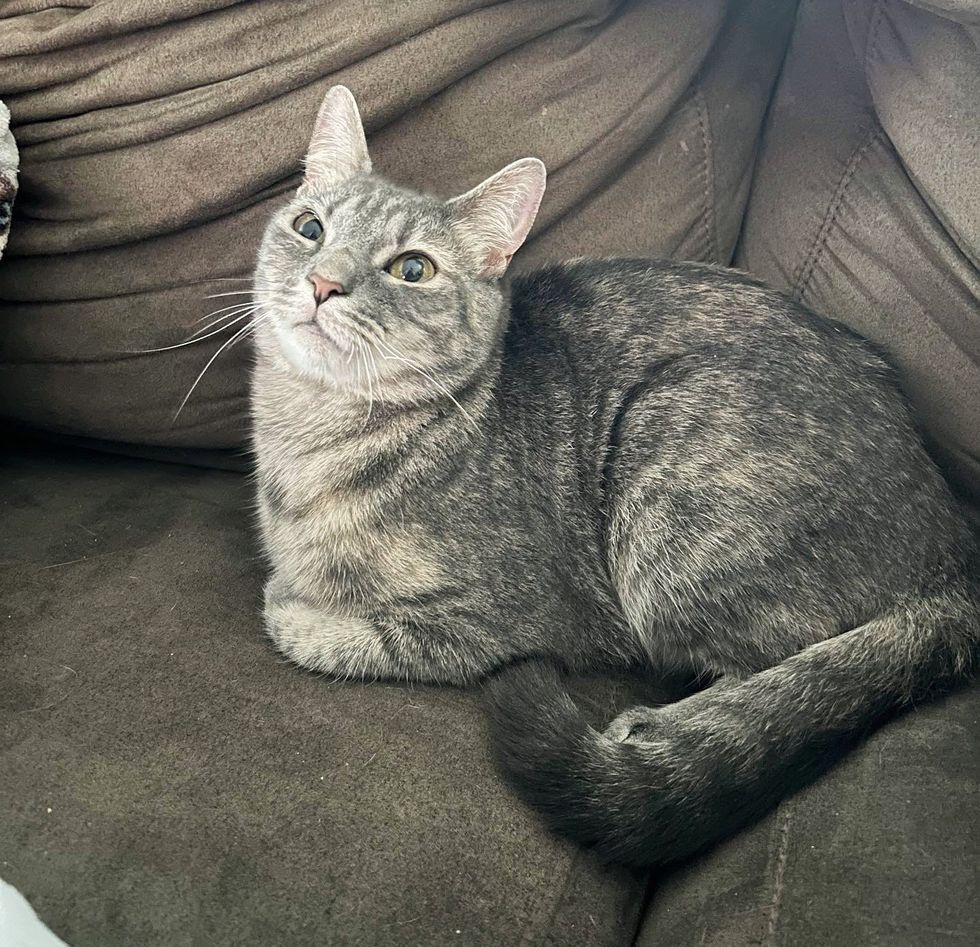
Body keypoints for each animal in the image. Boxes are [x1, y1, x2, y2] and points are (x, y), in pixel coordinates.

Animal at [253, 89, 980, 868]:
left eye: (412, 269)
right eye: (309, 227)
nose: (324, 283)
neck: (309, 438)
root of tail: (952, 545)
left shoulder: (507, 623)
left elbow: (346, 632)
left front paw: (296, 609)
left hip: (669, 469)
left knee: (780, 662)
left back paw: (656, 730)